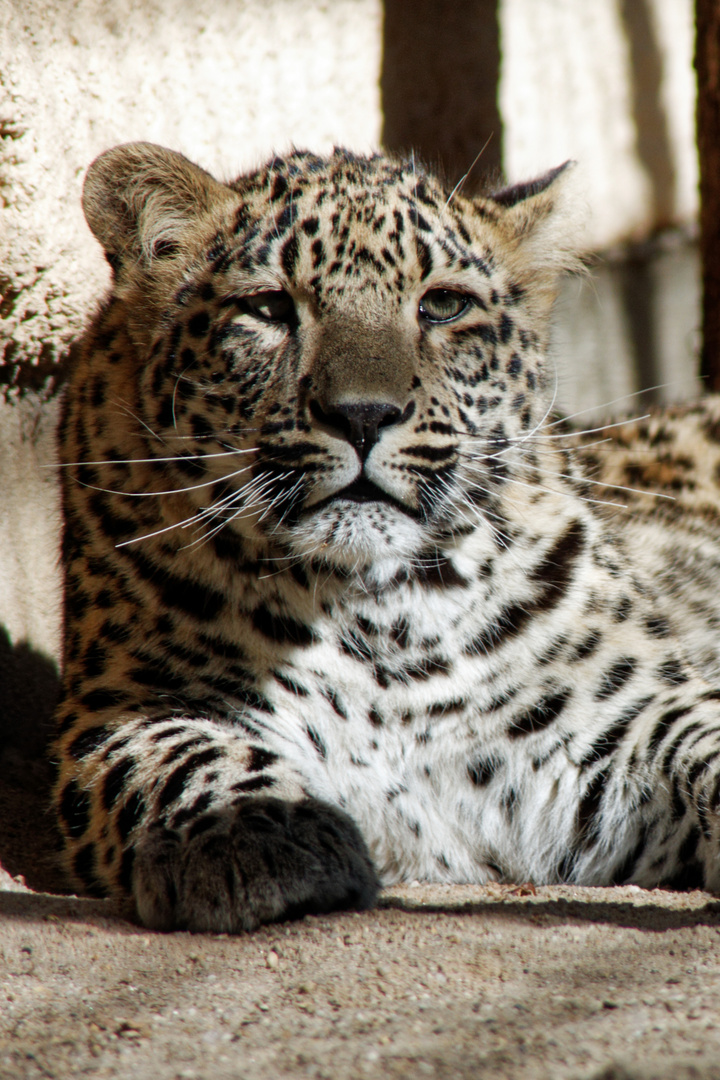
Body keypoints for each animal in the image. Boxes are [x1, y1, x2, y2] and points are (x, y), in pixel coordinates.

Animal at [55, 139, 720, 933]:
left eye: (444, 305)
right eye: (268, 309)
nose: (364, 415)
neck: (383, 621)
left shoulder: (619, 721)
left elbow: (706, 742)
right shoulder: (119, 708)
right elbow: (182, 753)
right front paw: (256, 832)